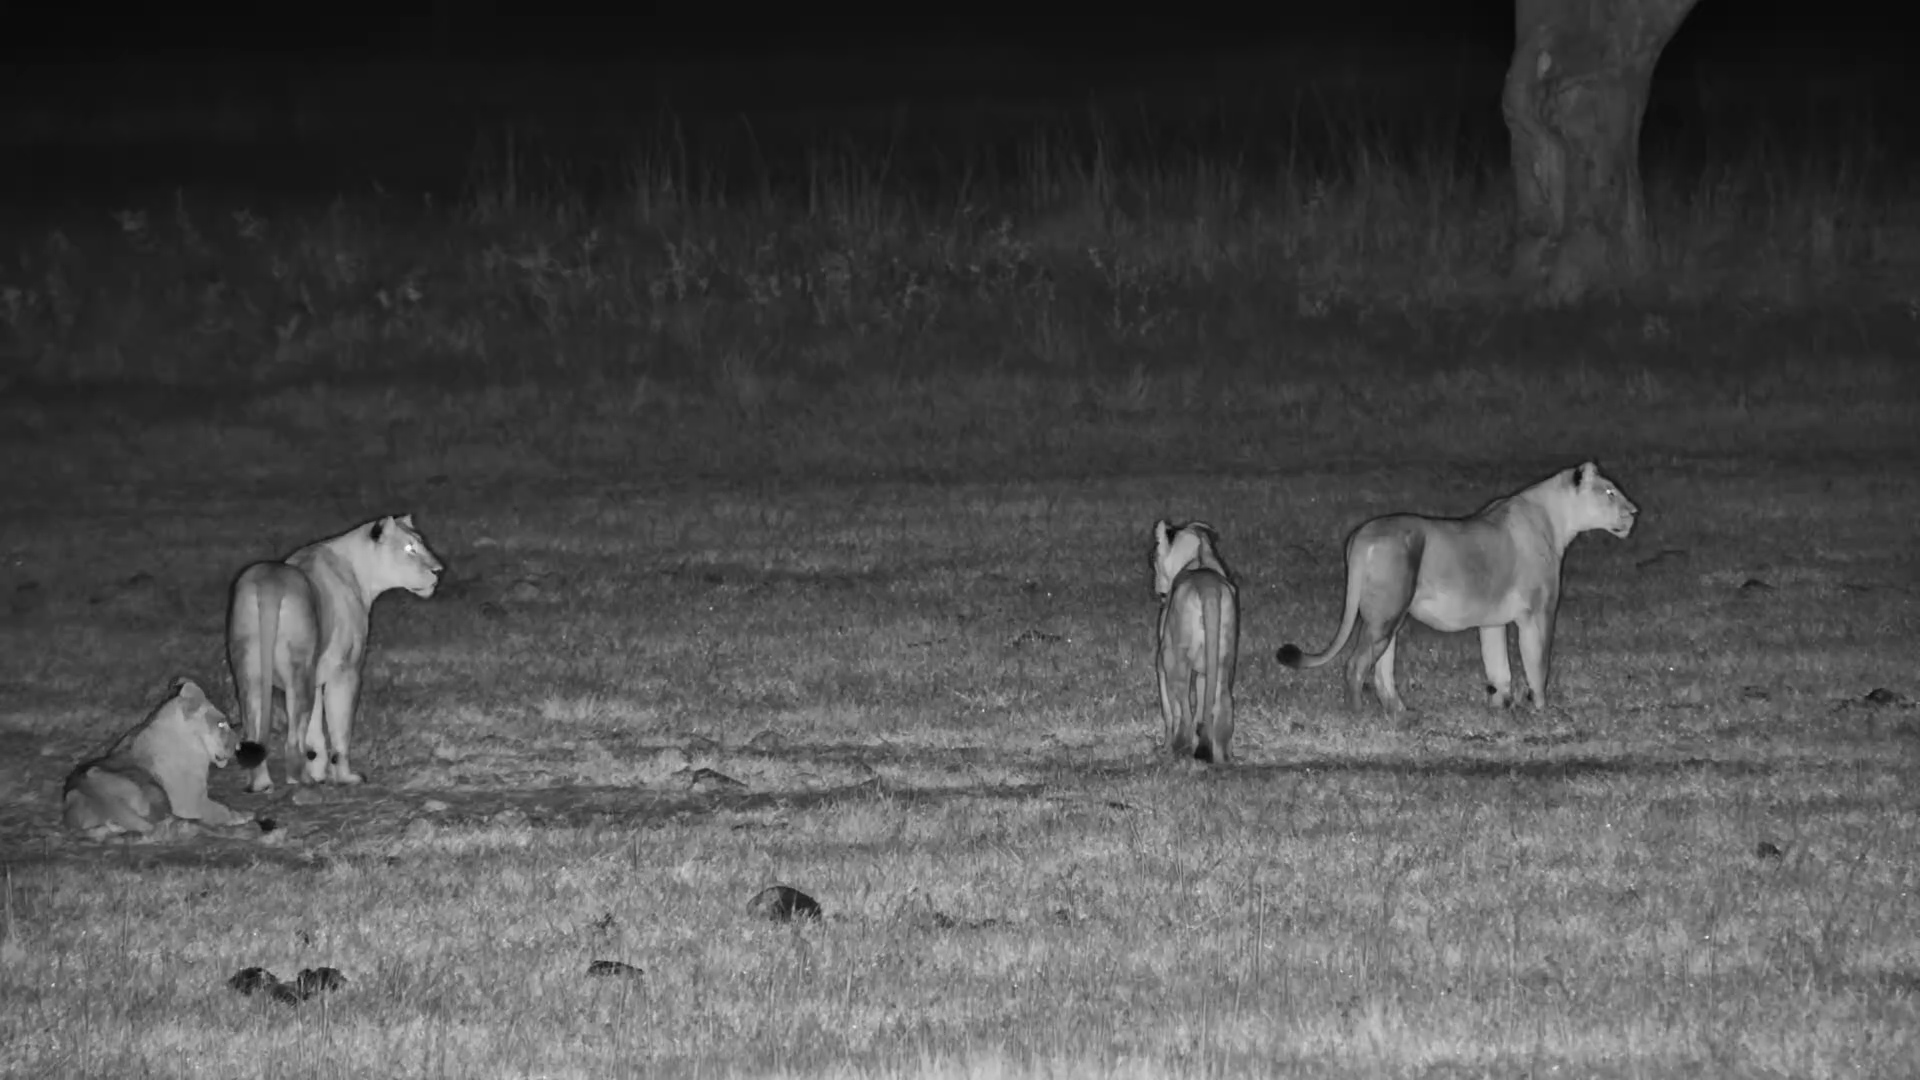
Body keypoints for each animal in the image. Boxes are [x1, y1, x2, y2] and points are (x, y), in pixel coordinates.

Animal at [63, 677, 261, 840]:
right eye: (221, 724)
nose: (238, 746)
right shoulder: (191, 803)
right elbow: (221, 810)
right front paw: (242, 816)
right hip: (155, 792)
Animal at [227, 514, 442, 791]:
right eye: (409, 548)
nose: (438, 570)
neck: (360, 572)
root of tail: (269, 587)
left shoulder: (319, 675)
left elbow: (315, 733)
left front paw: (320, 771)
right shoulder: (345, 671)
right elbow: (340, 731)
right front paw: (346, 777)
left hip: (249, 672)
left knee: (256, 732)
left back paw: (262, 785)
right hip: (299, 673)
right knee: (293, 742)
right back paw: (302, 782)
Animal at [1151, 519, 1241, 764]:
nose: (1157, 588)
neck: (1198, 556)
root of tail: (1208, 588)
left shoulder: (1161, 663)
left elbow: (1169, 712)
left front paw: (1166, 747)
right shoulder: (1204, 672)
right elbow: (1203, 703)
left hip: (1173, 660)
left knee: (1184, 712)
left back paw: (1179, 752)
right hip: (1224, 662)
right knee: (1223, 704)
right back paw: (1221, 756)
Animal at [1276, 461, 1637, 714]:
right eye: (1609, 492)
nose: (1634, 512)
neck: (1555, 518)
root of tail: (1361, 536)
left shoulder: (1492, 620)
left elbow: (1498, 667)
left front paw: (1501, 708)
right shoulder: (1539, 612)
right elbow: (1538, 664)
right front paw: (1541, 711)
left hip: (1385, 616)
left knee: (1381, 667)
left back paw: (1399, 712)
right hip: (1387, 612)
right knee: (1356, 664)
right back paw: (1358, 713)